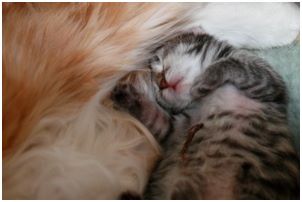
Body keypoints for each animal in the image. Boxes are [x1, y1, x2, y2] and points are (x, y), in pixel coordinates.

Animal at [111, 34, 300, 200]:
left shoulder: (270, 83)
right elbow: (154, 117)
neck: (207, 100)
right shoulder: (177, 130)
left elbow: (232, 64)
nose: (160, 83)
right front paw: (125, 96)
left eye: (158, 60)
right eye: (154, 83)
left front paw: (205, 79)